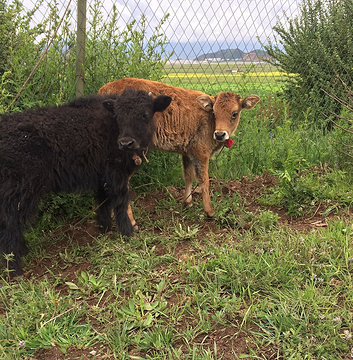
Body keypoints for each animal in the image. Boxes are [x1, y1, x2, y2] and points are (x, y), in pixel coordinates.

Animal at [98, 78, 258, 217]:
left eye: (234, 113)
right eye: (214, 112)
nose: (220, 134)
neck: (209, 120)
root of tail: (103, 91)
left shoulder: (187, 152)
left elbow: (188, 176)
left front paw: (187, 202)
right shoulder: (201, 153)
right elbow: (204, 179)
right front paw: (209, 211)